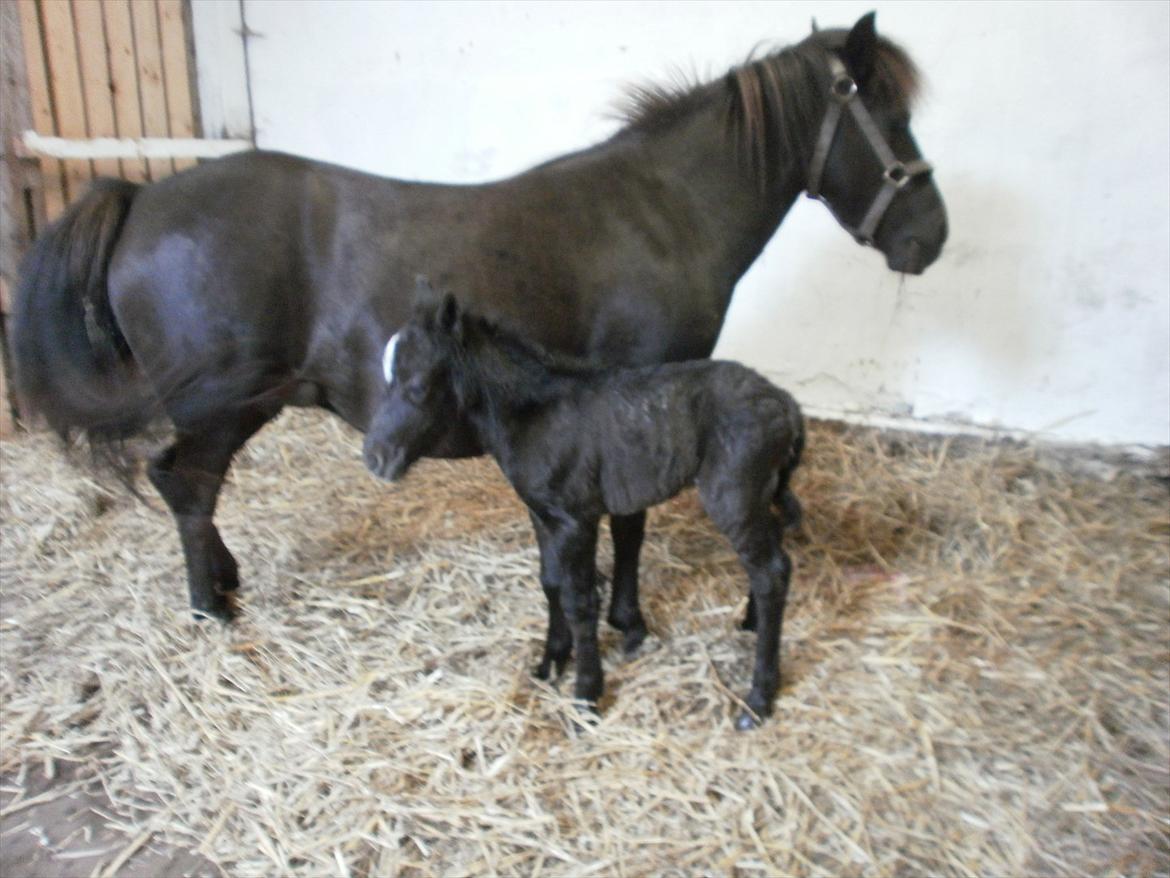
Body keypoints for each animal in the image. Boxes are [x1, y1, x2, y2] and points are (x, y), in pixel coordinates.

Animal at [365, 282, 804, 730]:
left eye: (419, 384)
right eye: (386, 376)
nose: (376, 458)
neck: (533, 414)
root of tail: (786, 405)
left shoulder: (576, 519)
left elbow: (580, 600)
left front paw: (587, 693)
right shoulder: (542, 516)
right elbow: (551, 583)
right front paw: (551, 662)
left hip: (733, 496)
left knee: (772, 572)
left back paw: (759, 698)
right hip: (759, 493)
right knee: (771, 554)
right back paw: (750, 623)